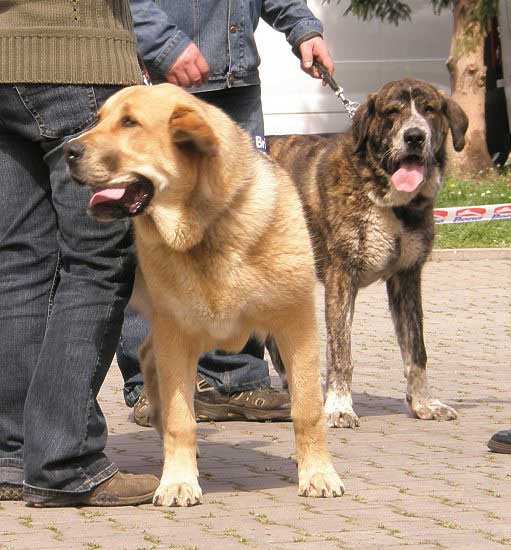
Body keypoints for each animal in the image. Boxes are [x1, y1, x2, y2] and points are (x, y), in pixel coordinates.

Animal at [266, 78, 470, 432]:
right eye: (393, 111)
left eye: (429, 109)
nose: (414, 136)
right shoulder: (341, 277)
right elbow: (340, 351)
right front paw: (338, 407)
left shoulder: (407, 277)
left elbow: (417, 350)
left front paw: (424, 403)